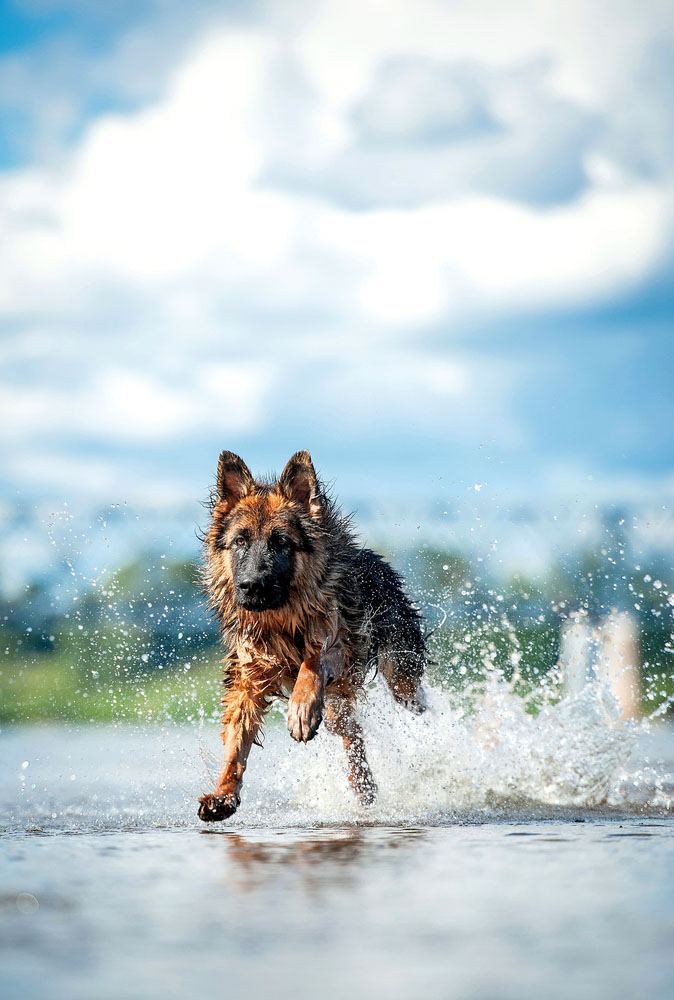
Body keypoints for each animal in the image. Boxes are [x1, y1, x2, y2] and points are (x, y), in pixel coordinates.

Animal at [197, 452, 426, 820]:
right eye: (240, 541)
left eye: (280, 542)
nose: (251, 587)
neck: (281, 620)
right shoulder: (248, 676)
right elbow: (236, 741)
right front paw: (223, 795)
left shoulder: (339, 644)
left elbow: (313, 662)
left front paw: (301, 708)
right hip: (339, 704)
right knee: (351, 736)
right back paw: (363, 787)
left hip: (396, 676)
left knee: (399, 701)